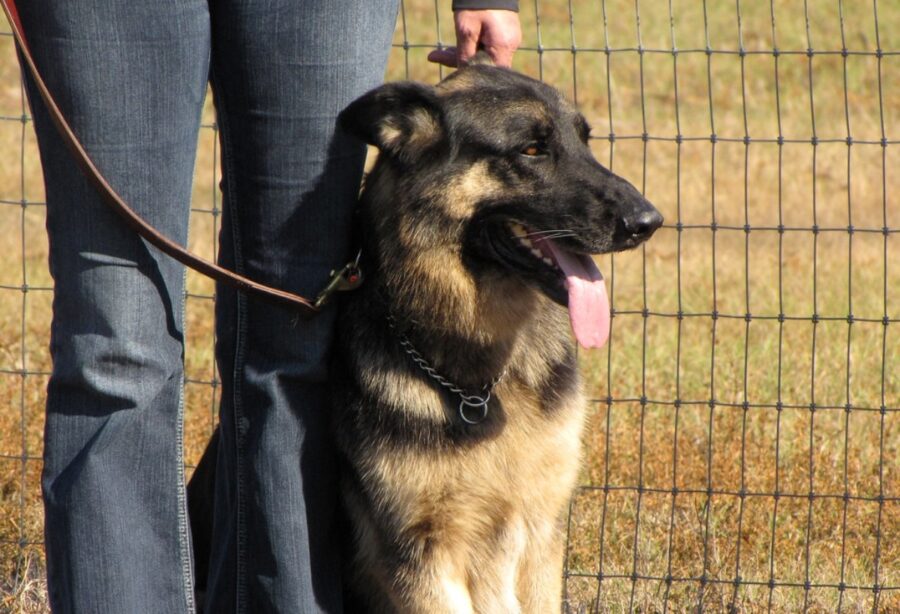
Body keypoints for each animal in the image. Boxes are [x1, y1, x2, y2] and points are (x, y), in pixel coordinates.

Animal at [330, 55, 660, 612]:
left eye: (584, 141)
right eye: (531, 149)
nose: (649, 222)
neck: (481, 387)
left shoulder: (541, 533)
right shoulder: (419, 557)